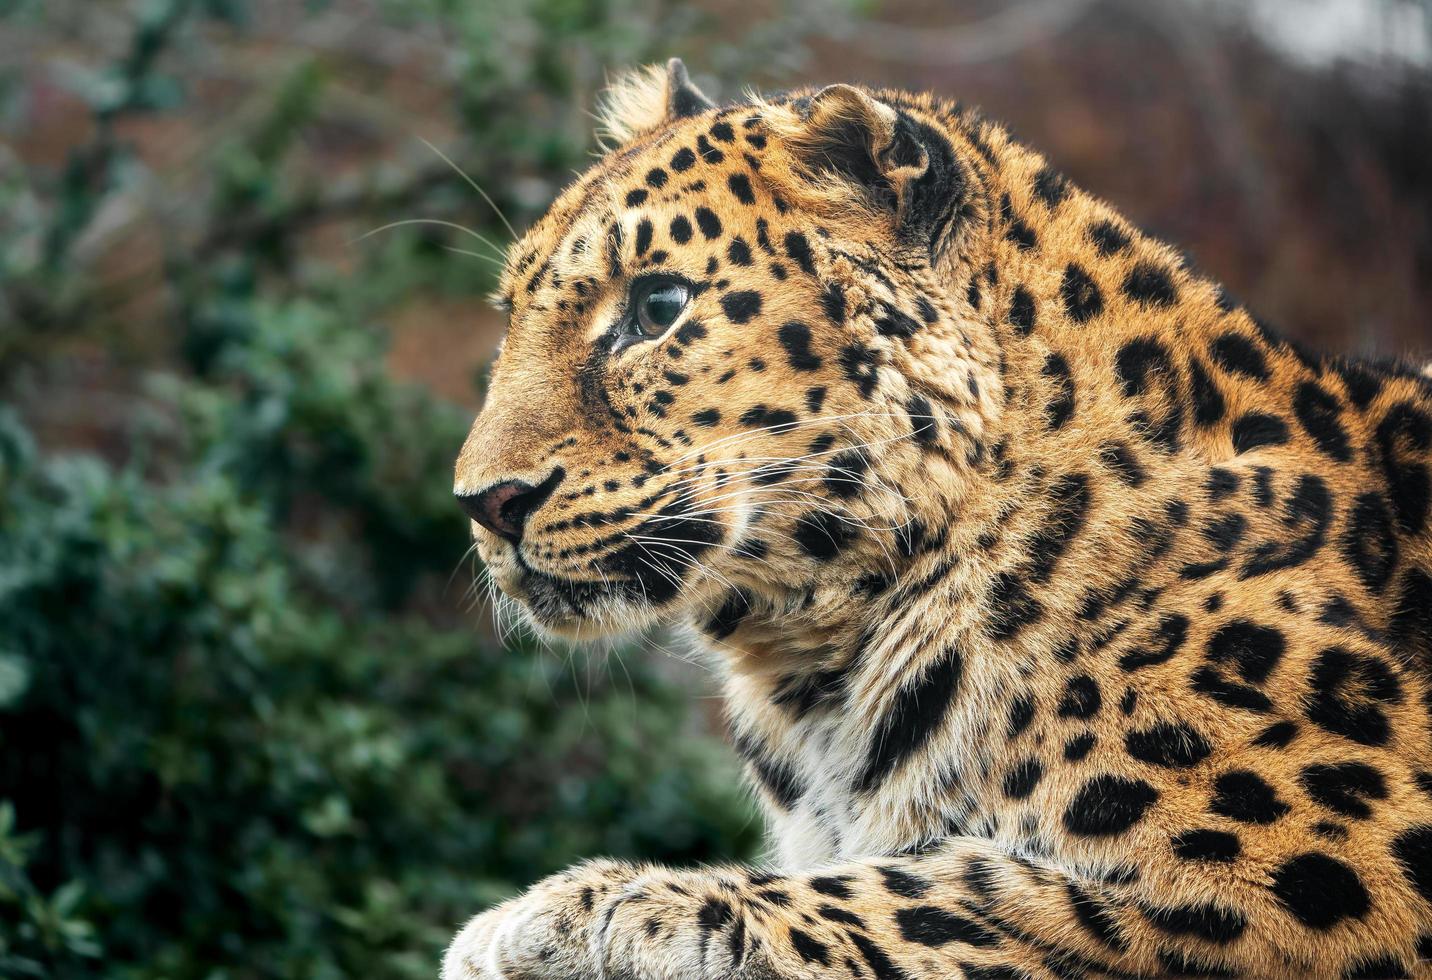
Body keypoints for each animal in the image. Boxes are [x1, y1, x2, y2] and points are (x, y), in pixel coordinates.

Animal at [441, 63, 1426, 980]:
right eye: (509, 318)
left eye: (657, 308)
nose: (485, 502)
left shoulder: (1334, 870)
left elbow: (958, 890)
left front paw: (584, 910)